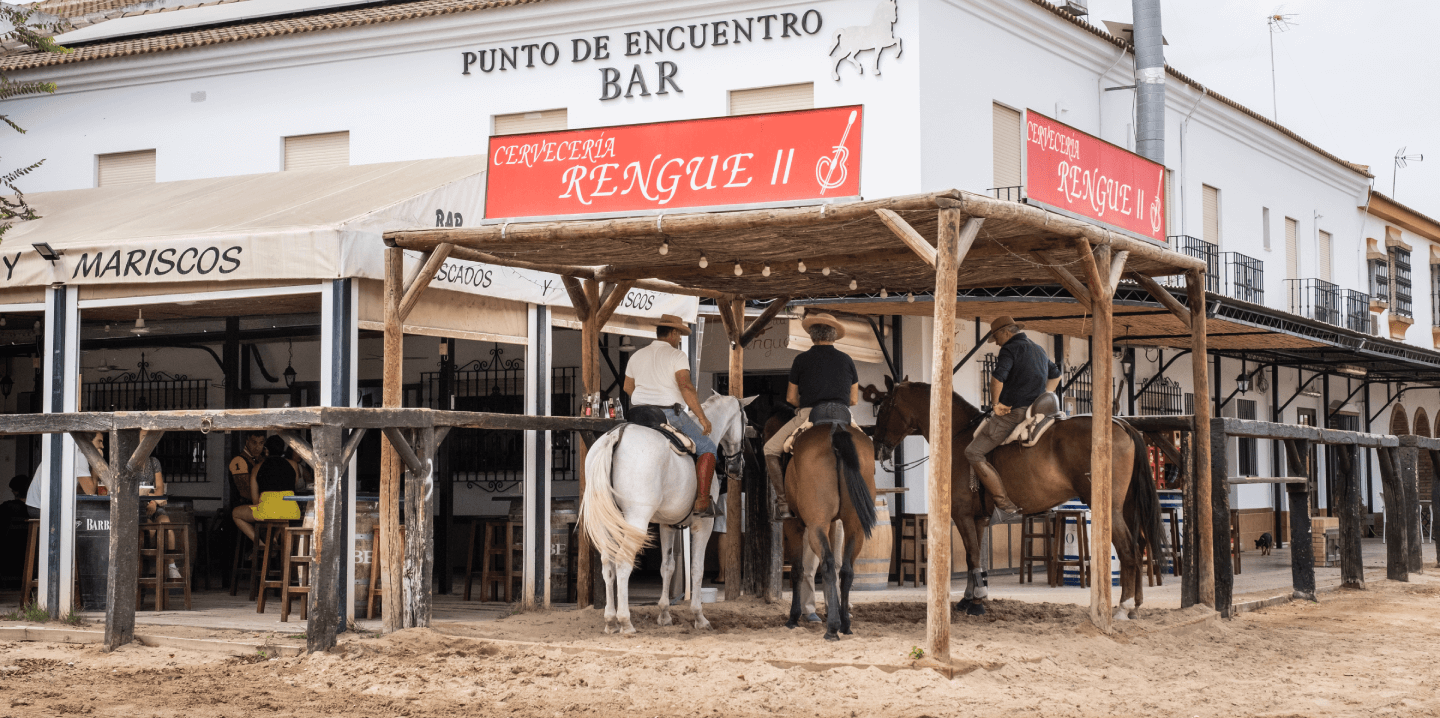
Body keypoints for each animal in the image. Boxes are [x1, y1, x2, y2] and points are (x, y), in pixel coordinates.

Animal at [578, 394, 754, 635]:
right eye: (745, 421)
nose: (738, 466)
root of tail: (617, 434)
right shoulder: (703, 524)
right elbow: (697, 569)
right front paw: (699, 617)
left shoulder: (667, 525)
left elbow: (667, 567)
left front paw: (664, 614)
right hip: (636, 520)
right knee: (623, 562)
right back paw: (625, 621)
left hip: (609, 523)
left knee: (609, 564)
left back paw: (610, 620)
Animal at [777, 420, 875, 644]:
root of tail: (836, 429)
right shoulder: (833, 524)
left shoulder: (793, 525)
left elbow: (797, 570)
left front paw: (793, 618)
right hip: (854, 526)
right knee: (846, 569)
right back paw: (844, 624)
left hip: (816, 525)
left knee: (828, 564)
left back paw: (832, 628)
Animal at [864, 379, 1157, 621]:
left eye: (885, 408)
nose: (877, 446)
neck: (958, 435)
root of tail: (1121, 424)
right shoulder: (978, 518)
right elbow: (973, 558)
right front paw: (970, 597)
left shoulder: (961, 514)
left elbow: (972, 555)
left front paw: (977, 602)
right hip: (1126, 507)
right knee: (1140, 544)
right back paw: (1136, 605)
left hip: (1109, 509)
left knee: (1128, 550)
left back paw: (1123, 607)